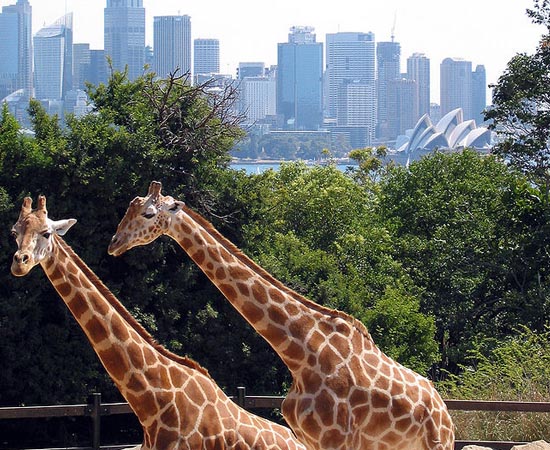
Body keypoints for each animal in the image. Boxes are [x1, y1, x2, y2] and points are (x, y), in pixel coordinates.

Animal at [108, 181, 458, 450]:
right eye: (128, 210)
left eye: (148, 213)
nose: (114, 243)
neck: (301, 354)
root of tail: (444, 411)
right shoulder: (310, 439)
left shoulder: (337, 439)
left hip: (436, 443)